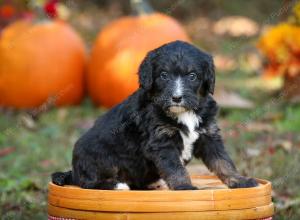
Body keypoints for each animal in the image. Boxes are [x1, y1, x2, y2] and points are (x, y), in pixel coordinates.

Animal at [52, 40, 258, 190]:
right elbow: (175, 168)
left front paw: (240, 180)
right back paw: (117, 185)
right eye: (163, 75)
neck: (185, 113)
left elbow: (223, 162)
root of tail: (73, 171)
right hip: (98, 156)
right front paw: (185, 187)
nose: (177, 98)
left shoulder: (209, 136)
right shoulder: (161, 142)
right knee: (88, 183)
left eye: (192, 76)